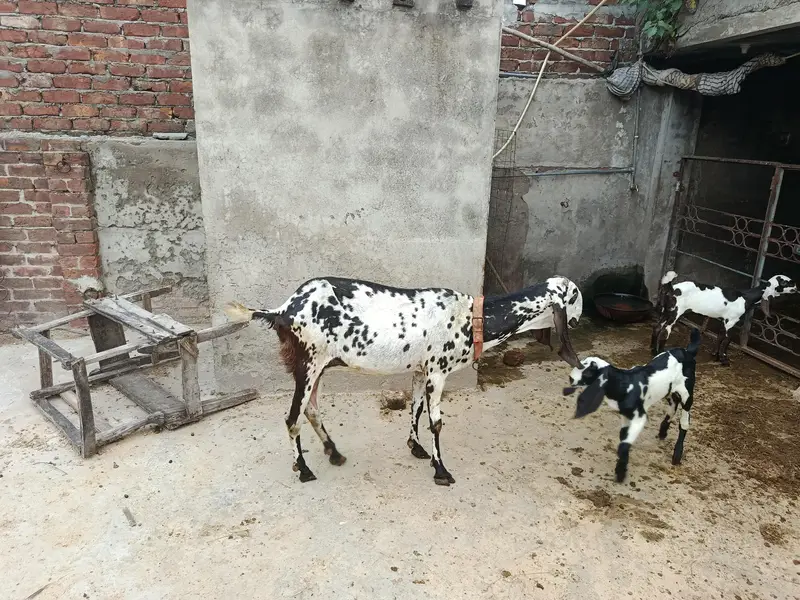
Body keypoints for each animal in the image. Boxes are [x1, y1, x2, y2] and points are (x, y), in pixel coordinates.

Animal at [225, 276, 583, 486]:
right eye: (576, 297)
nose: (578, 322)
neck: (472, 317)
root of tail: (283, 310)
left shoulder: (421, 369)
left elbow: (415, 409)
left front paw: (416, 448)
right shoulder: (438, 370)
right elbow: (437, 422)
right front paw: (442, 471)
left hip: (320, 365)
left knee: (311, 410)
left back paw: (333, 452)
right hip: (308, 362)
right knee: (292, 418)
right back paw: (304, 469)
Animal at [563, 328, 701, 483]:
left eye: (587, 373)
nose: (571, 378)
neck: (625, 383)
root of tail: (687, 351)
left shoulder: (639, 416)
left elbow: (625, 443)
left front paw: (620, 473)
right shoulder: (626, 415)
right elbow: (624, 436)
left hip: (687, 393)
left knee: (684, 421)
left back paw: (677, 454)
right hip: (669, 390)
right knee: (673, 403)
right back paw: (663, 431)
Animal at [651, 271, 798, 365]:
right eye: (786, 282)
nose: (796, 288)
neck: (746, 297)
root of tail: (671, 288)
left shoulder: (724, 320)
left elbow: (720, 336)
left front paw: (714, 354)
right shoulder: (731, 321)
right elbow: (728, 339)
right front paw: (724, 359)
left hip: (665, 311)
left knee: (657, 327)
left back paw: (653, 350)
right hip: (675, 313)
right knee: (664, 332)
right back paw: (660, 352)